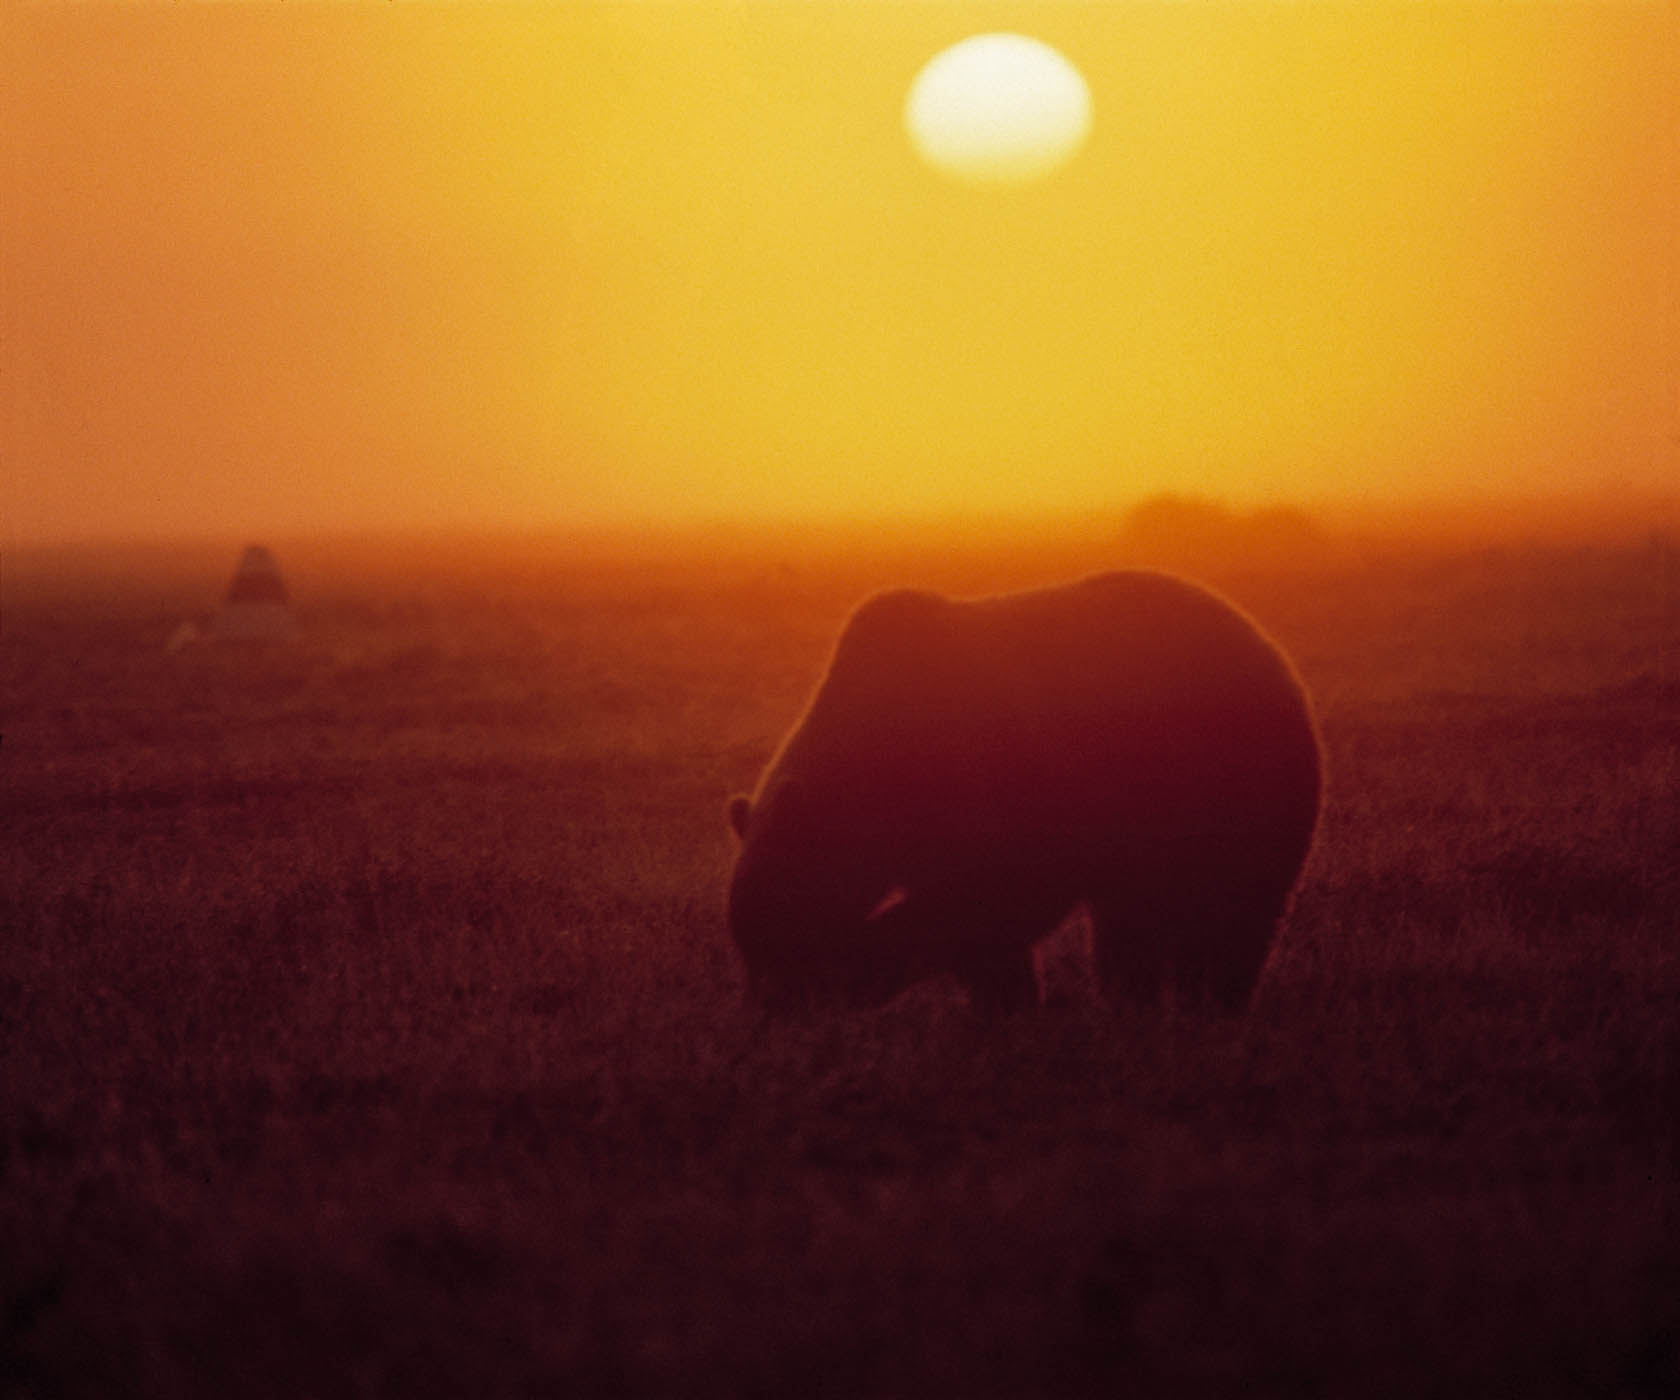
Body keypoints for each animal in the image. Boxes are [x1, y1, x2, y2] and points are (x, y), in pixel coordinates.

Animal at [729, 568, 1317, 1015]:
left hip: (1242, 780)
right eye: (748, 944)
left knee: (1238, 914)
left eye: (782, 929)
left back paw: (1211, 1005)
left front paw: (852, 974)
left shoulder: (995, 781)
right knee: (1133, 924)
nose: (770, 1008)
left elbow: (996, 901)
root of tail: (1267, 643)